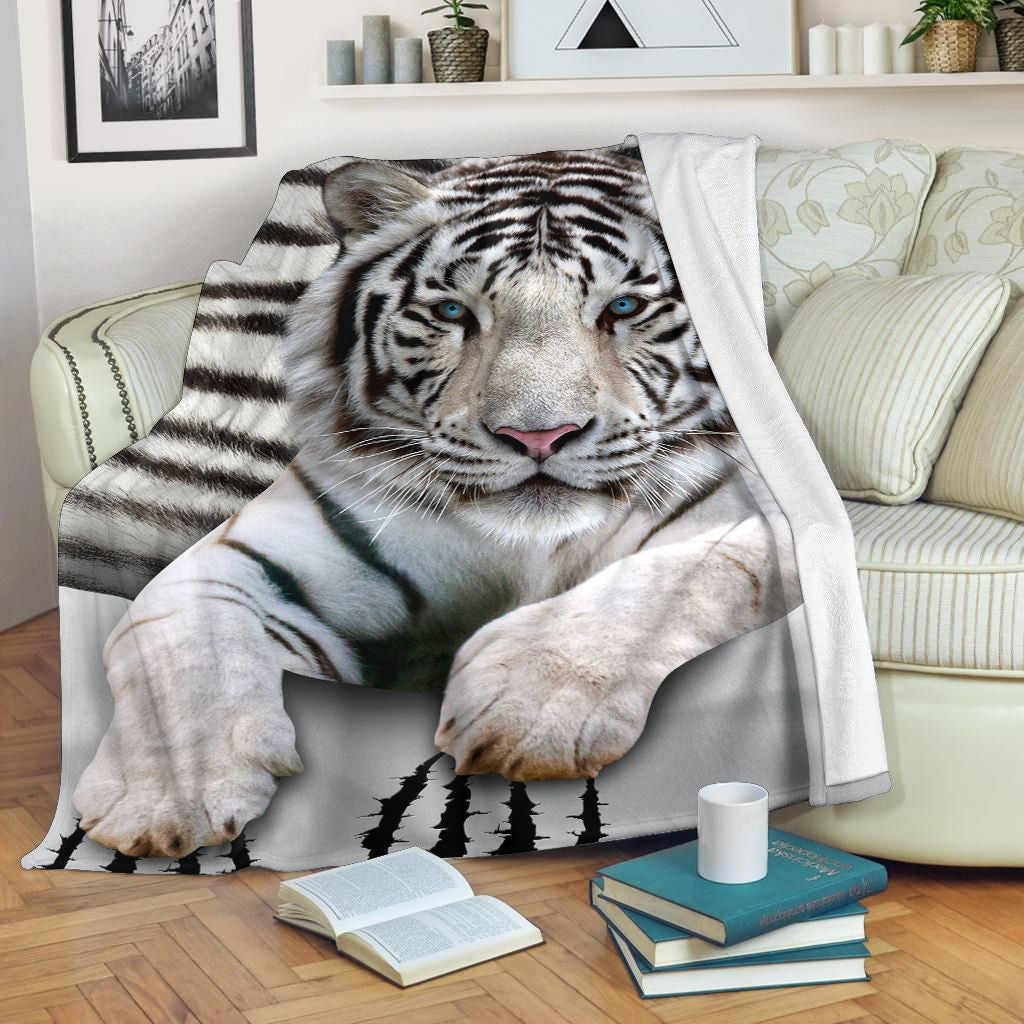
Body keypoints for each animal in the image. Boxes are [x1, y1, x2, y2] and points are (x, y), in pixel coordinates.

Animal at [73, 146, 796, 859]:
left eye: (621, 309)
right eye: (453, 314)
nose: (538, 436)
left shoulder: (759, 528)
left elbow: (671, 580)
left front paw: (526, 710)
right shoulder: (241, 557)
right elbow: (181, 650)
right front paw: (171, 798)